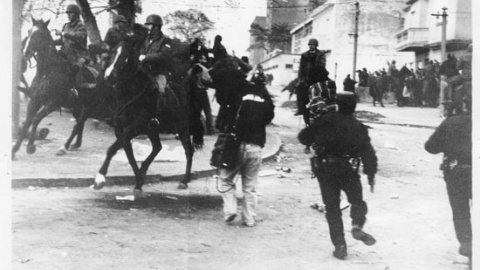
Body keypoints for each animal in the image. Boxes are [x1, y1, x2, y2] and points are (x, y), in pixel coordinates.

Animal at [12, 18, 111, 158]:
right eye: (29, 31)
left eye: (39, 34)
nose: (25, 52)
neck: (47, 72)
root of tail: (102, 77)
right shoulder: (35, 101)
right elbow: (27, 122)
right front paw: (14, 149)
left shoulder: (52, 103)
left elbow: (36, 119)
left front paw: (30, 147)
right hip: (76, 107)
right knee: (79, 124)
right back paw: (75, 144)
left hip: (88, 107)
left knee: (78, 125)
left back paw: (64, 147)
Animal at [94, 28, 195, 191]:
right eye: (113, 53)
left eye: (126, 56)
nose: (108, 76)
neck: (131, 92)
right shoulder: (120, 128)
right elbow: (126, 152)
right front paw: (139, 180)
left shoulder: (135, 127)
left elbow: (115, 149)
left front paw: (100, 178)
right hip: (153, 130)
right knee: (157, 147)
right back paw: (144, 170)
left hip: (182, 128)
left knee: (188, 151)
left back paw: (185, 180)